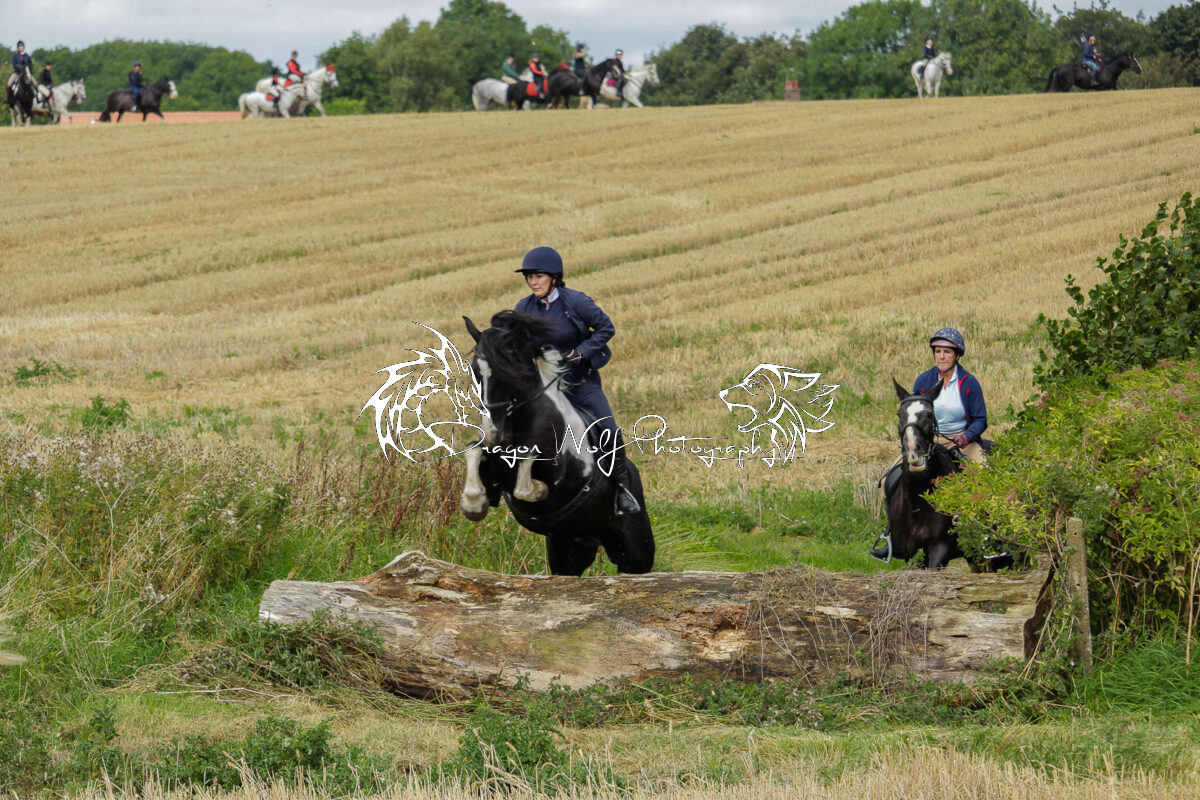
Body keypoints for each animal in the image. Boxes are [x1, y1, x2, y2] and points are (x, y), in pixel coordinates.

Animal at [459, 312, 654, 576]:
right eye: (475, 371)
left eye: (507, 371)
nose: (492, 432)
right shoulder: (494, 463)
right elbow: (474, 451)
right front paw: (474, 504)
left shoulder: (560, 475)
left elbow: (528, 469)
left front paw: (538, 489)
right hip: (567, 554)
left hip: (636, 549)